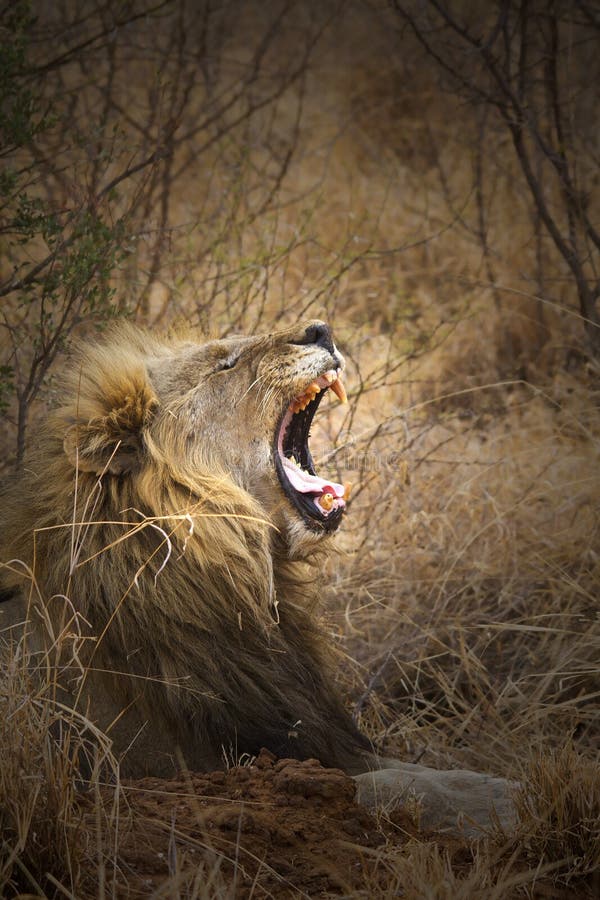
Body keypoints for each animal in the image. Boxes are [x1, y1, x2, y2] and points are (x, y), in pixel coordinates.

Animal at [0, 320, 516, 832]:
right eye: (223, 365)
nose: (320, 329)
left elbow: (425, 772)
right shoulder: (204, 767)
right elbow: (399, 787)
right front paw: (507, 804)